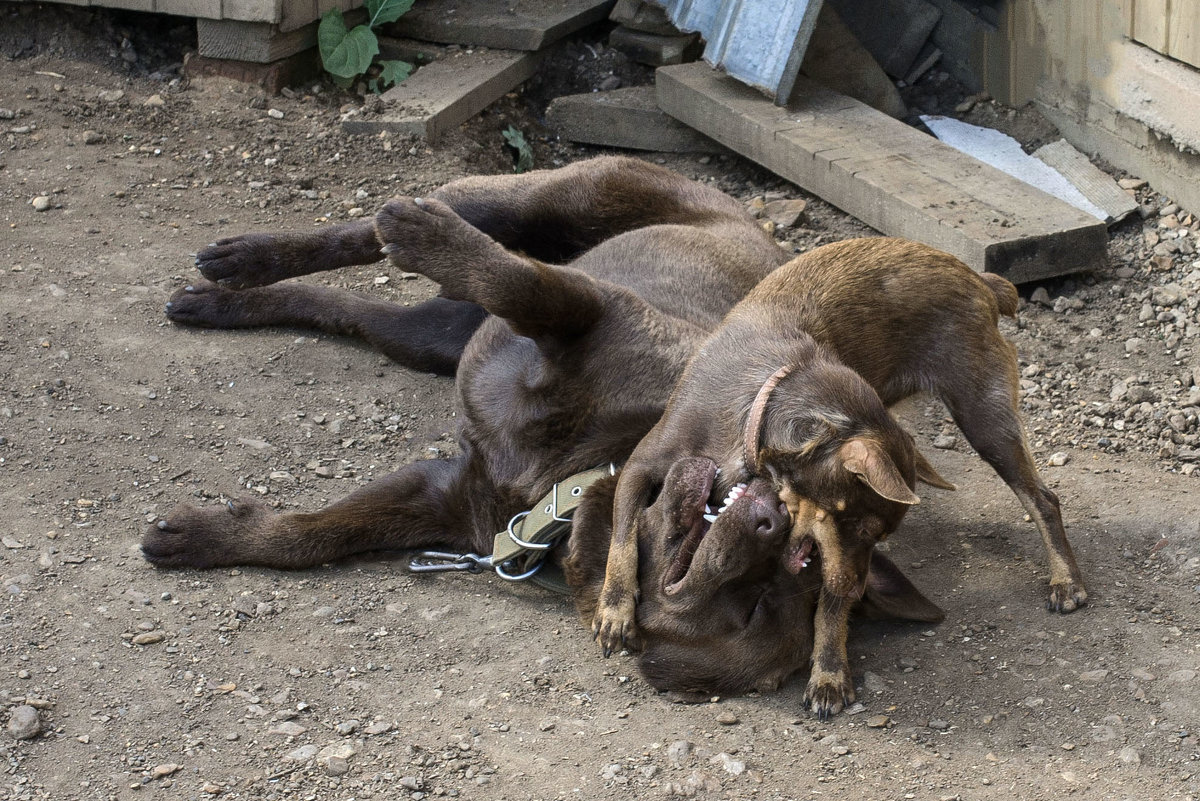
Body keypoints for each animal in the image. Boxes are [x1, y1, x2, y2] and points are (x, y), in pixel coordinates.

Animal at [142, 154, 1089, 714]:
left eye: (758, 601)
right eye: (777, 578)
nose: (767, 520)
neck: (567, 481)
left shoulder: (445, 501)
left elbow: (310, 535)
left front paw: (198, 537)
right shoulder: (588, 310)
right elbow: (523, 283)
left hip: (430, 335)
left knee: (361, 314)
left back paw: (224, 296)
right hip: (560, 195)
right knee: (401, 234)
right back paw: (298, 246)